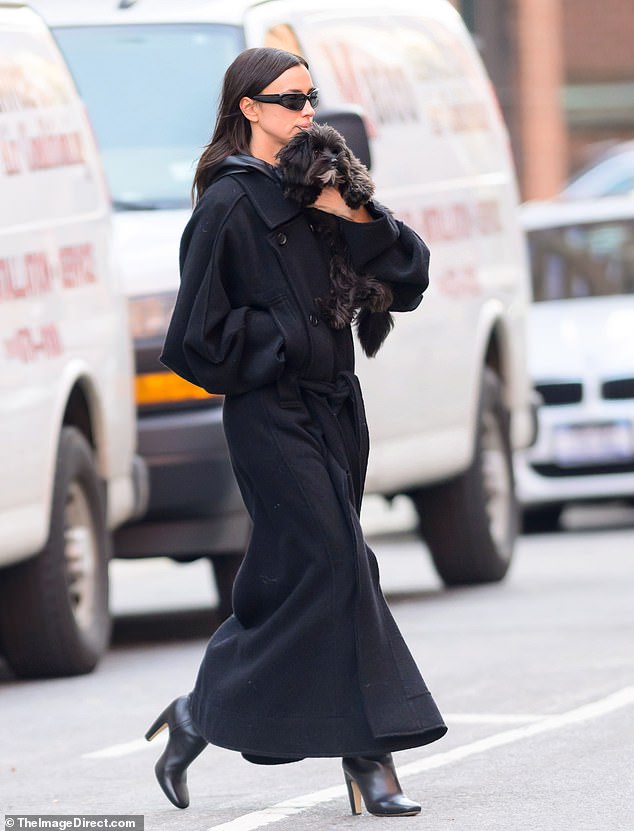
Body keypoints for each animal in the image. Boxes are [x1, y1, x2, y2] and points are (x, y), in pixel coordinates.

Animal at [276, 123, 392, 358]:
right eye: (316, 151)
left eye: (336, 150)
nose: (334, 161)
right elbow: (297, 183)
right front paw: (302, 190)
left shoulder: (352, 162)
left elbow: (356, 170)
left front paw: (357, 190)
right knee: (351, 294)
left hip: (341, 264)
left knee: (351, 293)